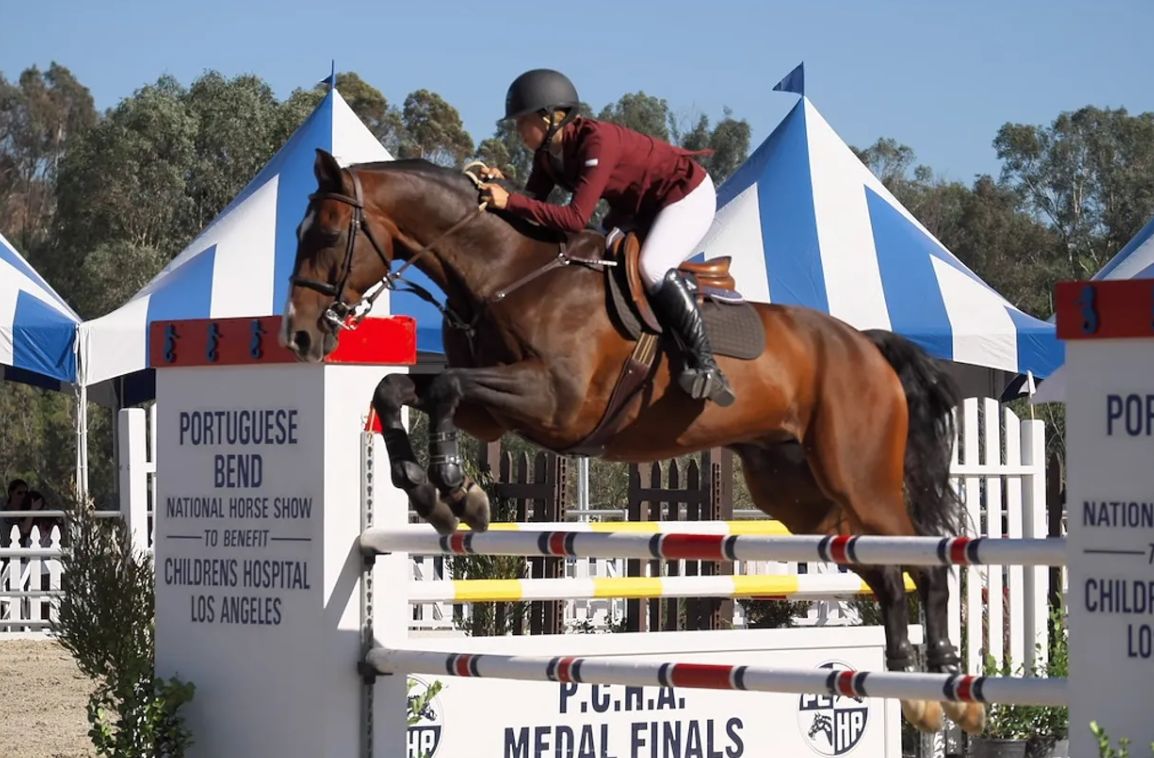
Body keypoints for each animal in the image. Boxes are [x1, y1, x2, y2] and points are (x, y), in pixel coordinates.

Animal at [281, 148, 984, 736]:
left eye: (324, 234)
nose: (299, 336)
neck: (510, 271)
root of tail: (866, 343)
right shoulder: (494, 414)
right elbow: (395, 390)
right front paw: (434, 495)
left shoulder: (553, 403)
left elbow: (445, 388)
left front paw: (457, 490)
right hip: (803, 498)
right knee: (887, 573)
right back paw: (914, 691)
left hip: (858, 477)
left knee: (926, 560)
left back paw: (952, 688)